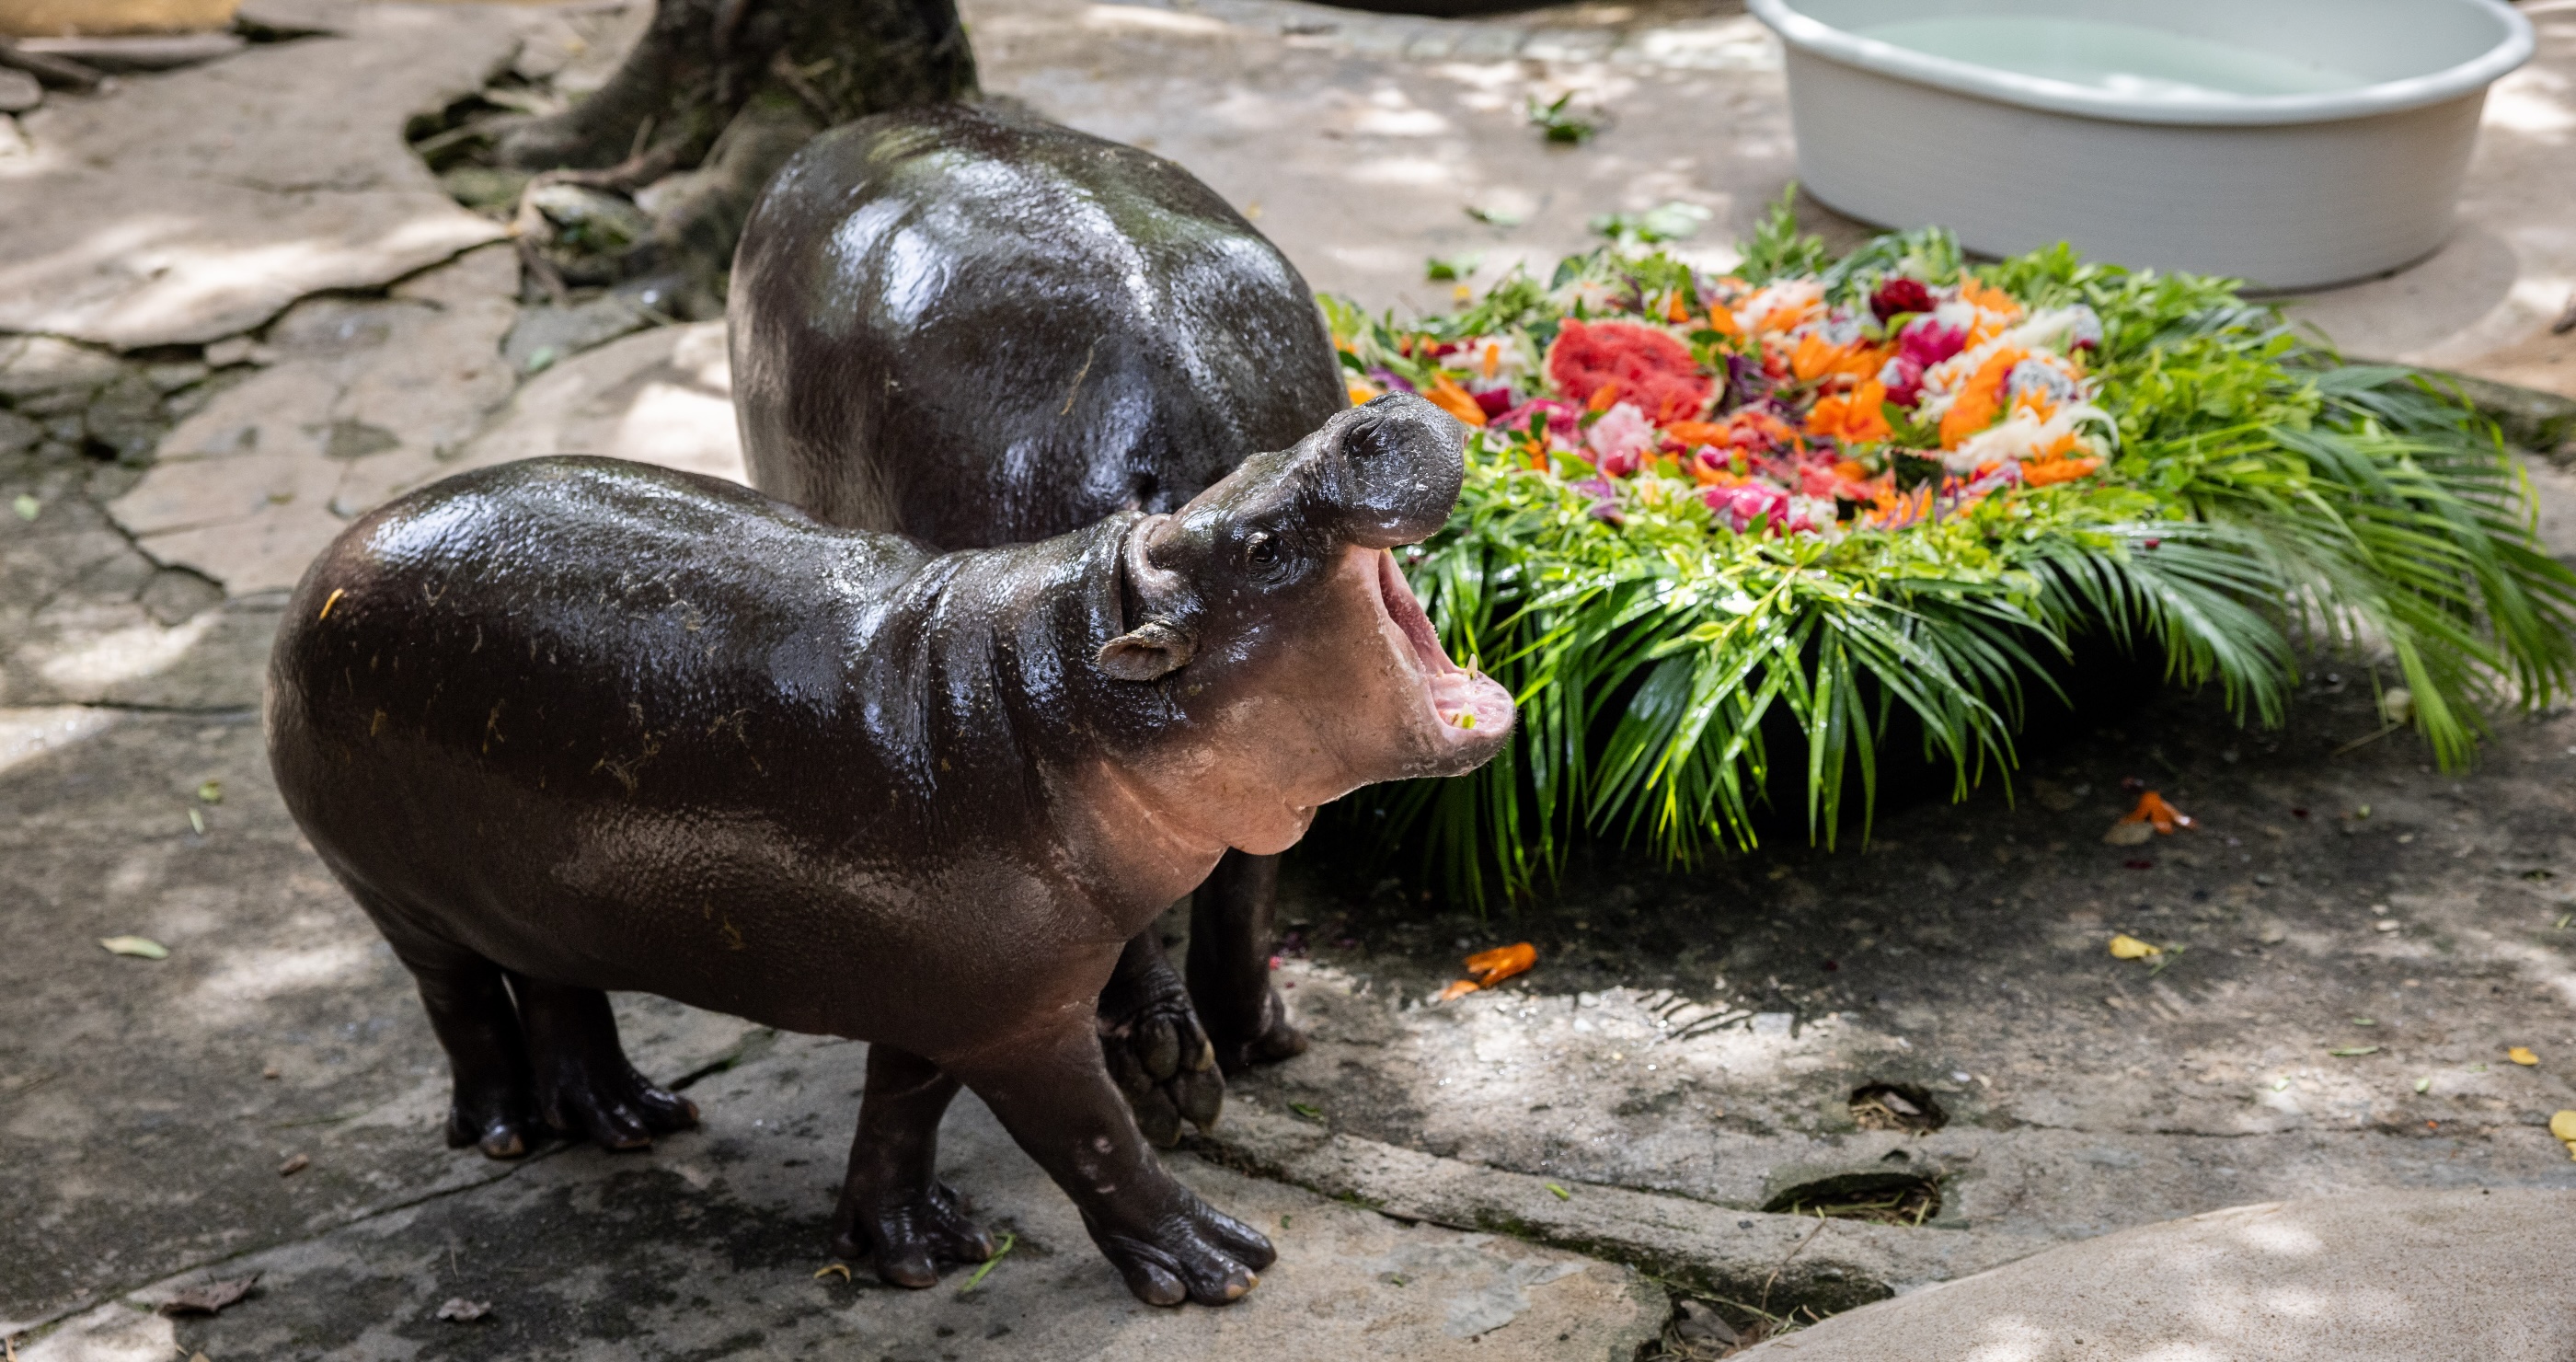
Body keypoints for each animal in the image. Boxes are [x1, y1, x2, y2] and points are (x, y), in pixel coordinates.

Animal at [265, 395, 1512, 1304]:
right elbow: (1095, 1137)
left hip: (542, 892)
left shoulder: (949, 988)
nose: (1367, 418)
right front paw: (1221, 1263)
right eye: (1259, 541)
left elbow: (903, 1110)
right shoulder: (1021, 1017)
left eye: (1251, 457)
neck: (1069, 696)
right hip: (392, 892)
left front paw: (912, 1249)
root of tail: (328, 554)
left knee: (557, 987)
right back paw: (508, 1133)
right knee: (462, 1000)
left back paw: (630, 1119)